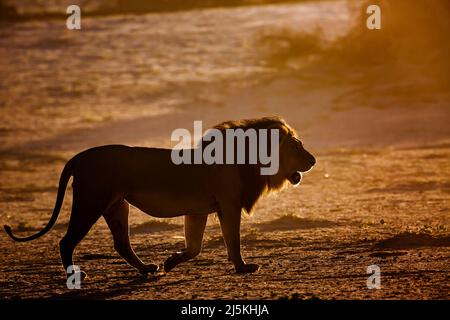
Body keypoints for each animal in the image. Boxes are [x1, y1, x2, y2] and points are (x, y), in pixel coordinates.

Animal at [3, 117, 314, 280]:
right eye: (297, 146)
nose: (313, 160)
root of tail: (78, 157)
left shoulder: (198, 211)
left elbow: (194, 247)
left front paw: (170, 262)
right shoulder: (228, 205)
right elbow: (233, 241)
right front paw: (242, 268)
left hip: (116, 206)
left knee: (121, 244)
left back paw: (147, 269)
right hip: (90, 202)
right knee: (66, 241)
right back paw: (75, 276)